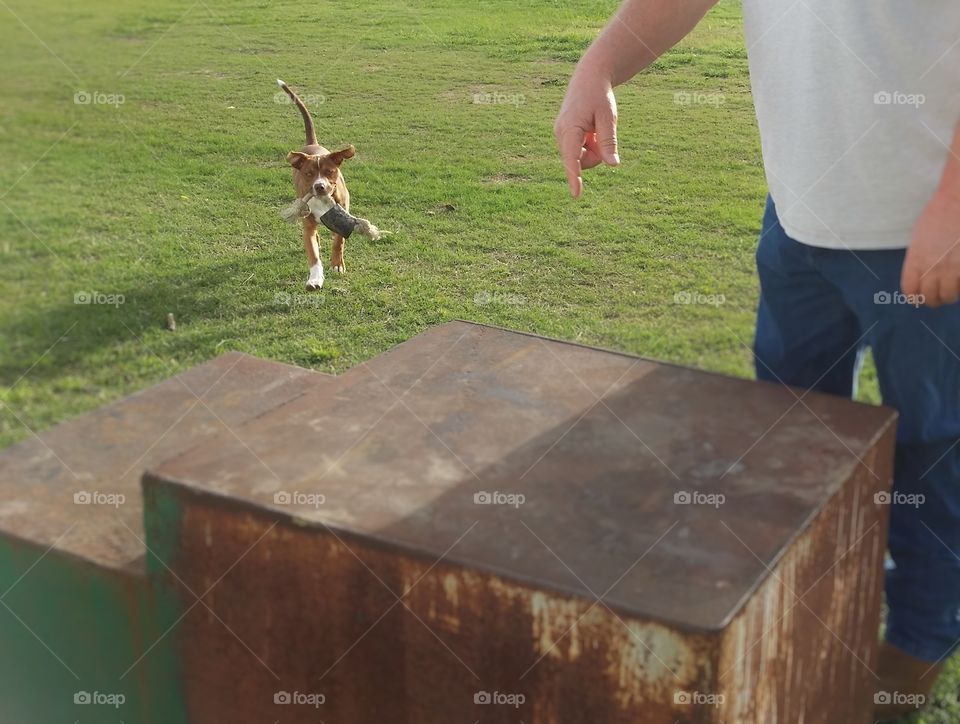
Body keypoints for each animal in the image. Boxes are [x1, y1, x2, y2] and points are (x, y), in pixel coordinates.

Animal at [278, 76, 356, 286]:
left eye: (330, 172)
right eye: (308, 173)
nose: (319, 186)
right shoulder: (308, 225)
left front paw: (337, 264)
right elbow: (312, 254)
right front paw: (314, 278)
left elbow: (339, 241)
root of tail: (312, 144)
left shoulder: (343, 214)